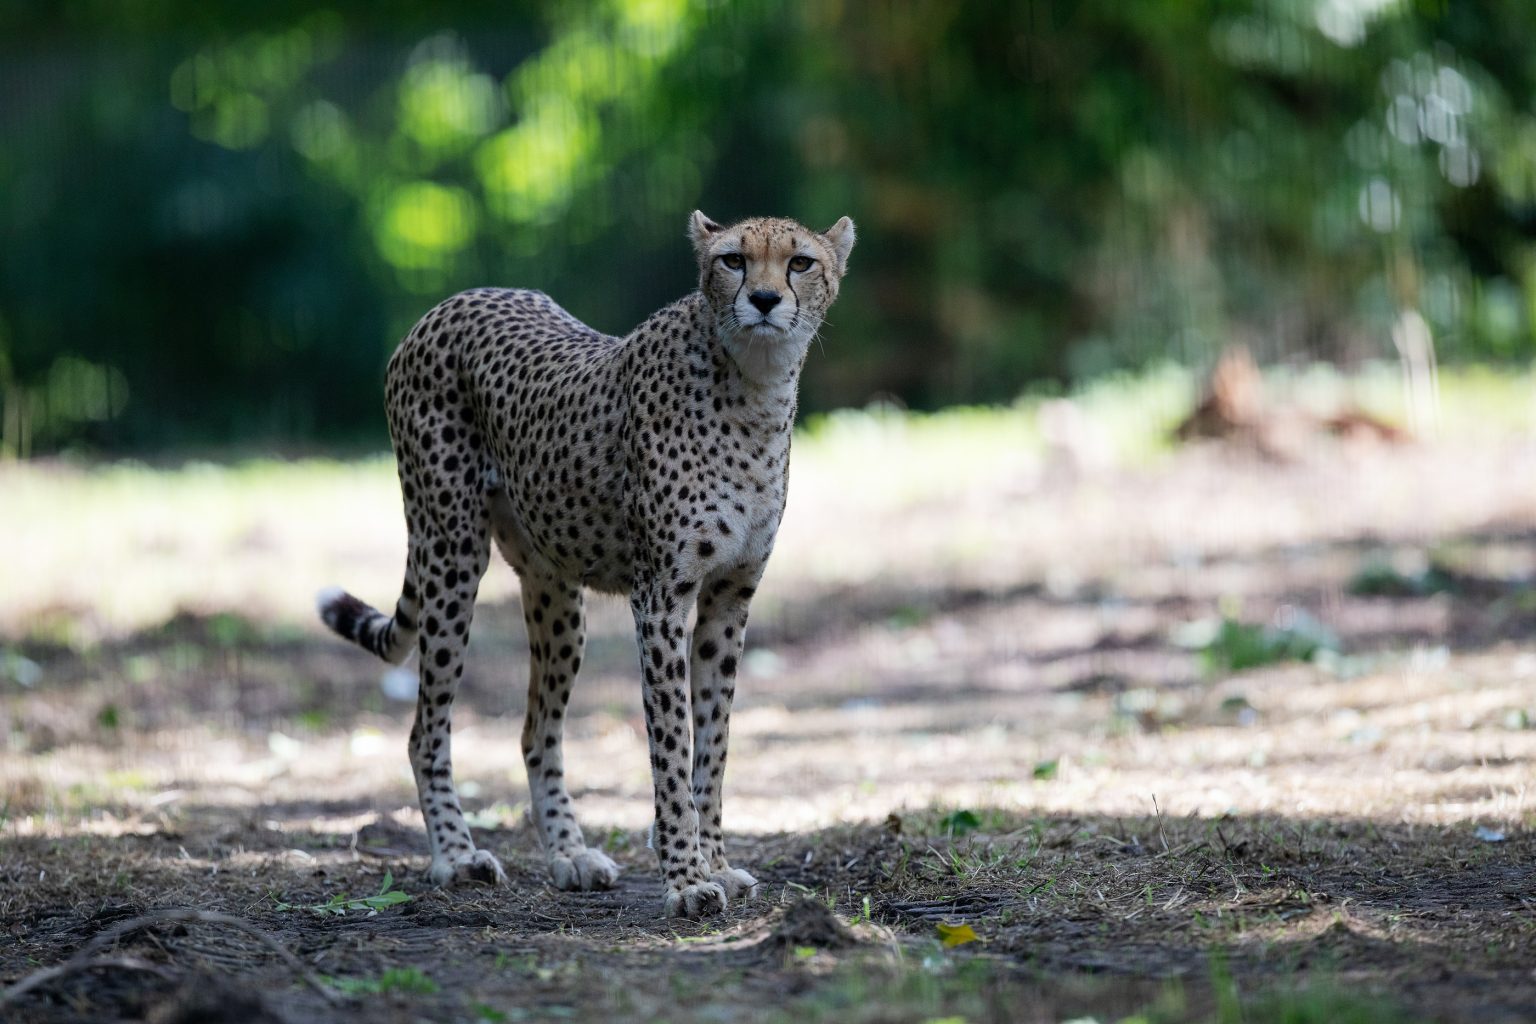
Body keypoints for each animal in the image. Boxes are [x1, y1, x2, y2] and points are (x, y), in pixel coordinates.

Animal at [317, 211, 860, 914]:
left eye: (800, 263)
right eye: (733, 260)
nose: (765, 300)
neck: (753, 389)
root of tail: (454, 301)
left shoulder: (728, 599)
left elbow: (713, 742)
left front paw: (715, 862)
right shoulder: (661, 598)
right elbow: (671, 742)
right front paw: (686, 877)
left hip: (556, 597)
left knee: (535, 732)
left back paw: (570, 854)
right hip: (451, 556)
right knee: (425, 731)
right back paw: (457, 856)